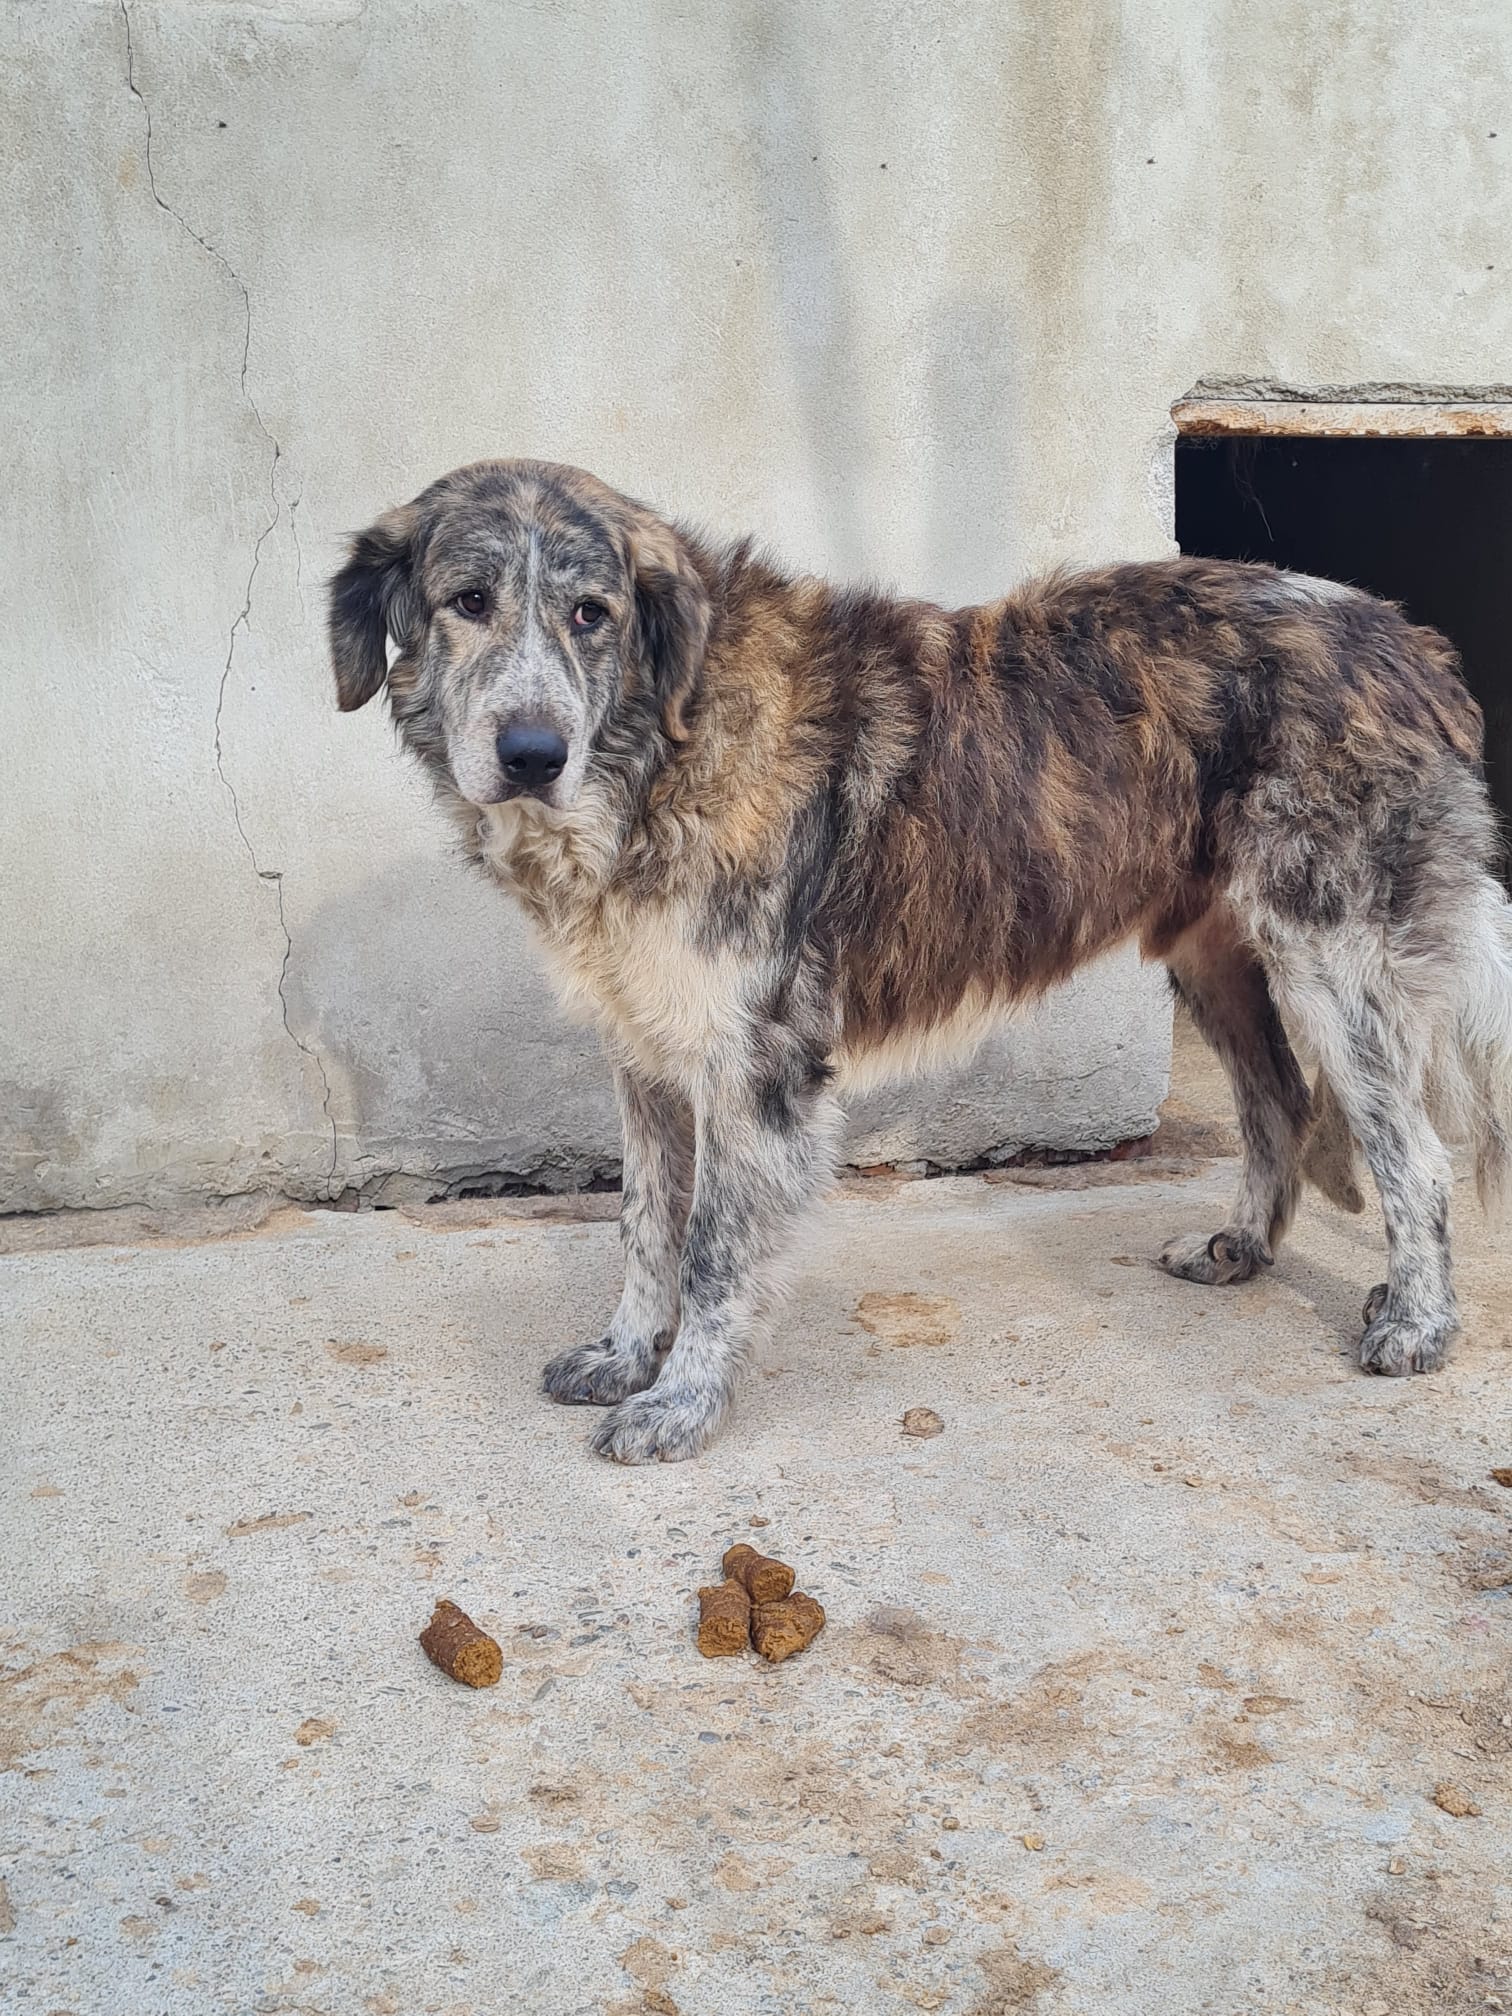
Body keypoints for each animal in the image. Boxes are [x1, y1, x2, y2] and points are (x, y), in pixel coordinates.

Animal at [328, 459, 1512, 1462]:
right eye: (467, 600)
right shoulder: (647, 1050)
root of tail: (1407, 640)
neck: (665, 738)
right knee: (1278, 1104)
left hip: (1332, 958)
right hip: (1221, 959)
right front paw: (625, 1357)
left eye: (591, 614)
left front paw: (683, 1403)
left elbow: (712, 1249)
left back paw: (1418, 1322)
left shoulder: (754, 1067)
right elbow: (644, 1225)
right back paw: (1243, 1249)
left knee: (1415, 1155)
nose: (532, 755)